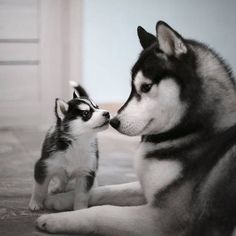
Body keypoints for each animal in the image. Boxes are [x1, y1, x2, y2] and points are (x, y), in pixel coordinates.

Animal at [36, 20, 236, 236]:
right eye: (132, 88)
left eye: (146, 87)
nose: (113, 122)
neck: (192, 130)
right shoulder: (146, 190)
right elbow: (104, 190)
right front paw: (61, 199)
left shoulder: (164, 216)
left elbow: (103, 211)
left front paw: (56, 219)